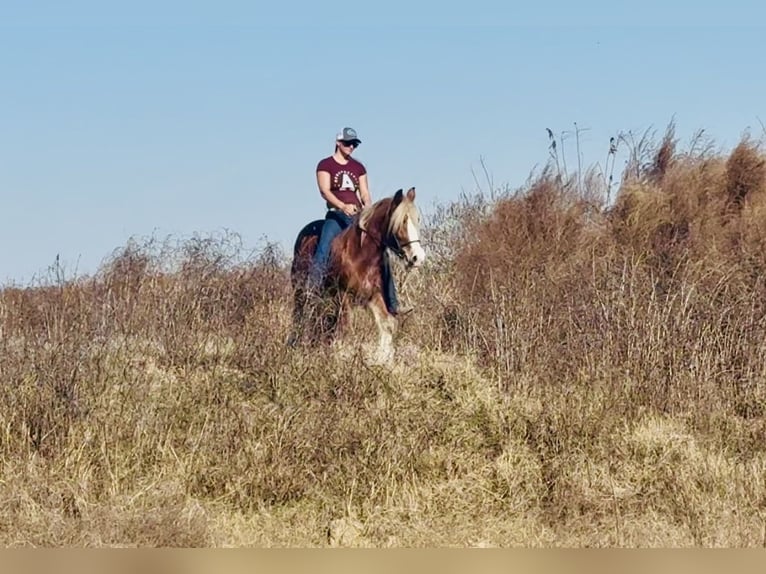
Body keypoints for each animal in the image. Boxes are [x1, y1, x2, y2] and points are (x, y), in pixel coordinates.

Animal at [288, 187, 426, 363]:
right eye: (401, 222)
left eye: (416, 220)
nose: (418, 257)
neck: (361, 254)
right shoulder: (343, 295)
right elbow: (346, 327)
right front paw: (342, 355)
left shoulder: (374, 294)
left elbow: (386, 324)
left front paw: (383, 359)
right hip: (301, 292)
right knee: (301, 317)